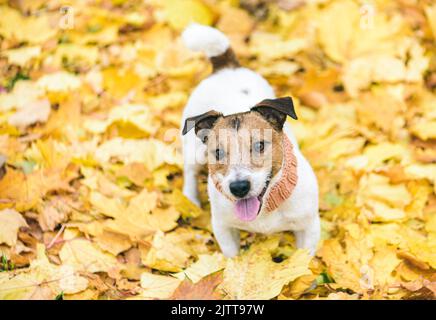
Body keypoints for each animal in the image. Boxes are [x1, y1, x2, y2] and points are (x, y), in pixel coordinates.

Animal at [179, 23, 318, 258]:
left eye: (260, 145)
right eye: (218, 152)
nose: (239, 187)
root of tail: (227, 67)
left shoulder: (308, 228)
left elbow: (304, 261)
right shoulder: (224, 228)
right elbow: (233, 257)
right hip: (193, 152)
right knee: (189, 171)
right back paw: (190, 198)